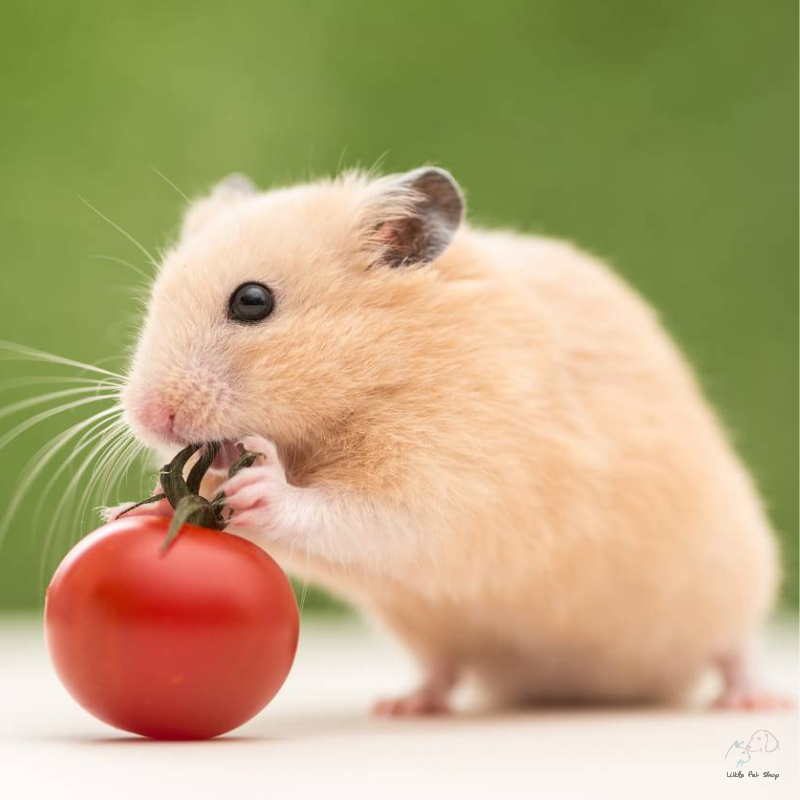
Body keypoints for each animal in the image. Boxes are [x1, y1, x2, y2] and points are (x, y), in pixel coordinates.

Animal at [112, 166, 783, 715]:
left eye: (252, 301)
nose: (150, 415)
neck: (378, 376)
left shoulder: (452, 483)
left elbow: (358, 513)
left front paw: (262, 482)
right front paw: (134, 504)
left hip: (732, 573)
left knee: (735, 646)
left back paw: (754, 700)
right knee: (443, 669)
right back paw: (404, 704)